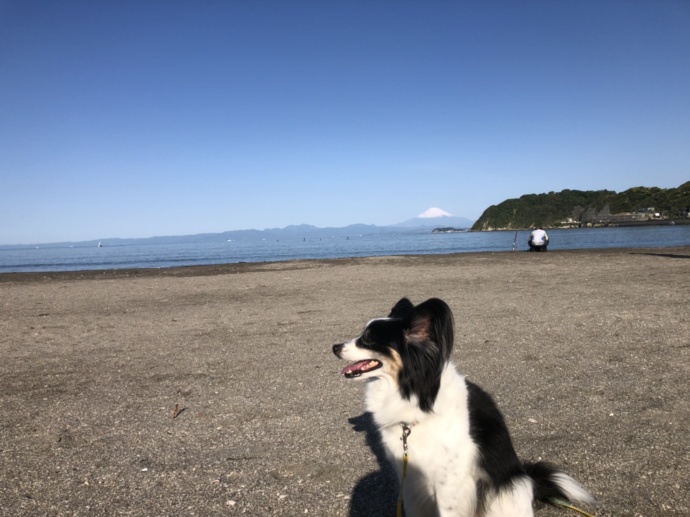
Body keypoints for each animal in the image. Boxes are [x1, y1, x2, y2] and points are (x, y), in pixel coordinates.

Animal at [332, 298, 592, 516]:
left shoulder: (449, 483)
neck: (416, 396)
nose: (334, 347)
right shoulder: (411, 481)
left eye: (368, 338)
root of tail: (530, 483)